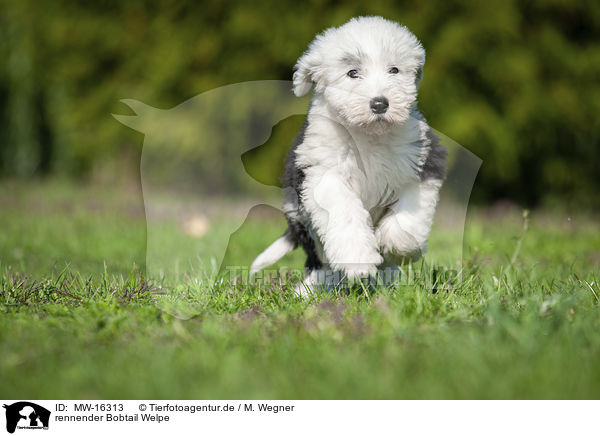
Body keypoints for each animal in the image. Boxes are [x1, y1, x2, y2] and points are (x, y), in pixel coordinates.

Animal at [248, 16, 446, 292]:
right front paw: (359, 260)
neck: (368, 136)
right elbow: (344, 210)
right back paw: (312, 289)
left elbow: (409, 213)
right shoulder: (323, 173)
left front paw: (398, 246)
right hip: (304, 222)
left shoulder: (424, 159)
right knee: (319, 261)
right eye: (352, 72)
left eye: (394, 70)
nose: (379, 104)